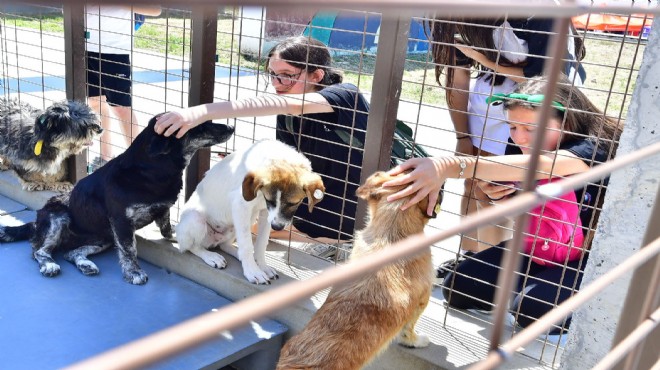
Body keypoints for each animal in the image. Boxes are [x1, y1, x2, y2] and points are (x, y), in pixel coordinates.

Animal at [0, 114, 235, 284]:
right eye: (200, 125)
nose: (232, 128)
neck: (150, 170)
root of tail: (36, 223)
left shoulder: (163, 209)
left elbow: (167, 229)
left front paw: (176, 236)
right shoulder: (121, 222)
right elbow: (129, 250)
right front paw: (134, 273)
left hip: (102, 237)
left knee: (71, 253)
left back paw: (86, 265)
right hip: (59, 218)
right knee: (39, 251)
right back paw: (49, 265)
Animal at [177, 140, 326, 284]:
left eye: (293, 203)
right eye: (270, 200)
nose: (277, 227)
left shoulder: (266, 213)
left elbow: (261, 243)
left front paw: (262, 266)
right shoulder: (241, 205)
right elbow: (247, 245)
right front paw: (253, 272)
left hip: (241, 224)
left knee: (224, 245)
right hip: (196, 219)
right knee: (191, 247)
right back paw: (211, 257)